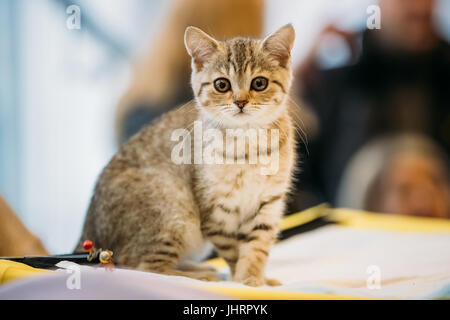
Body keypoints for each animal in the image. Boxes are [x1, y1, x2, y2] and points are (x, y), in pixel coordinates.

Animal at [77, 23, 296, 286]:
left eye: (259, 83)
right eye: (222, 85)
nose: (241, 102)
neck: (246, 144)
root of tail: (90, 226)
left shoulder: (269, 204)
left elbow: (257, 248)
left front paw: (257, 277)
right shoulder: (217, 213)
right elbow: (234, 251)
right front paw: (245, 281)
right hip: (174, 214)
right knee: (142, 266)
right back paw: (199, 275)